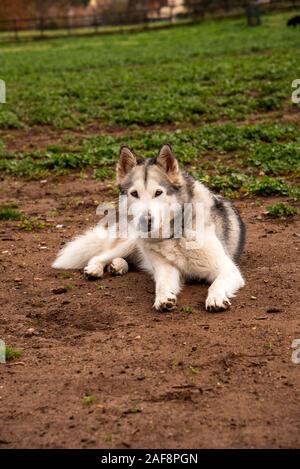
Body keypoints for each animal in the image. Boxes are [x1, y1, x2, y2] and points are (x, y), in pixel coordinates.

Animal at [52, 144, 246, 312]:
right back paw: (97, 268)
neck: (174, 234)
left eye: (158, 193)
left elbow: (216, 284)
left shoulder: (228, 269)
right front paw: (163, 298)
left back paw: (118, 266)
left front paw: (216, 298)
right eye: (134, 193)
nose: (146, 221)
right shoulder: (166, 268)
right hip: (130, 241)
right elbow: (161, 284)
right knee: (100, 256)